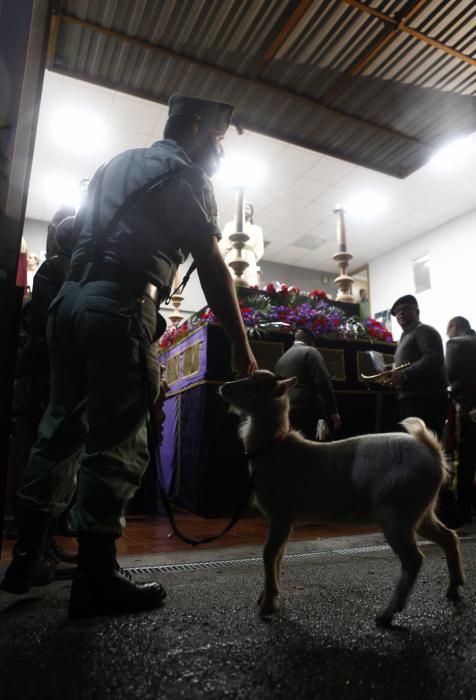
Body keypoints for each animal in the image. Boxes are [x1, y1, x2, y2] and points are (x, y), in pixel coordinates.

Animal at [219, 370, 464, 628]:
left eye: (256, 386)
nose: (224, 387)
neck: (273, 448)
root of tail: (434, 454)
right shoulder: (286, 519)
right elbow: (279, 555)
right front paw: (268, 595)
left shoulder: (280, 514)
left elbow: (269, 554)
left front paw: (268, 604)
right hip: (420, 510)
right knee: (448, 537)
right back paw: (453, 588)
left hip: (395, 512)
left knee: (414, 559)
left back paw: (387, 613)